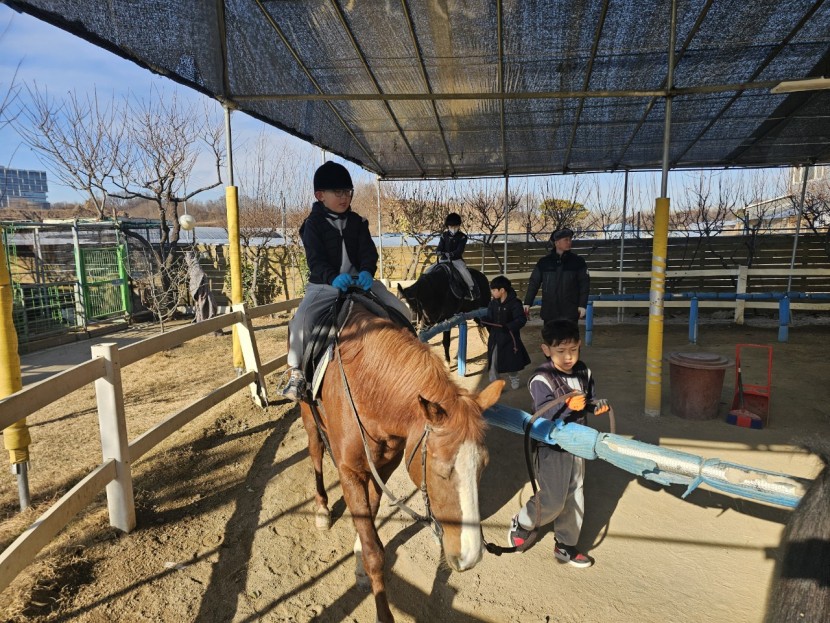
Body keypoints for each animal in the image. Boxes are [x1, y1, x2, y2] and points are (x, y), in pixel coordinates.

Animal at [299, 302, 504, 623]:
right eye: (440, 471)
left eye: (483, 466)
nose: (470, 557)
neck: (368, 386)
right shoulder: (349, 471)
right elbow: (374, 551)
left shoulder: (384, 466)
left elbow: (369, 516)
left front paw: (359, 561)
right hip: (308, 417)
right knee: (316, 452)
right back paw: (321, 508)